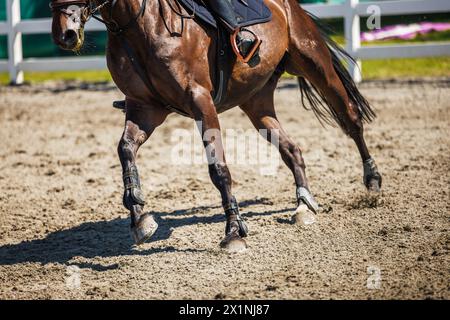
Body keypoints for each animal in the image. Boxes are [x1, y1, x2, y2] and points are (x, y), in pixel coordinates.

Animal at [50, 0, 380, 250]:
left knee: (351, 119)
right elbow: (125, 150)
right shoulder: (144, 108)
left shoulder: (201, 102)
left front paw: (234, 232)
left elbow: (219, 169)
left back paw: (372, 180)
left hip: (315, 65)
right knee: (291, 149)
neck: (138, 27)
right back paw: (303, 206)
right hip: (257, 102)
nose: (64, 34)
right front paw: (139, 216)